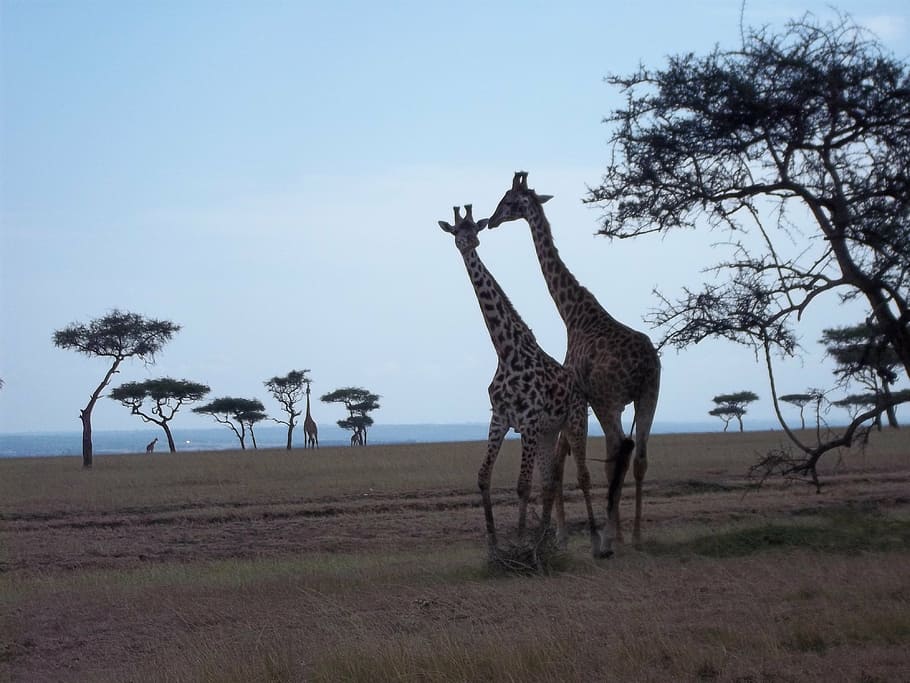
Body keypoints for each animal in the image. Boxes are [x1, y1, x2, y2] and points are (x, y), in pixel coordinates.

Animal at [438, 204, 599, 557]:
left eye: (476, 228)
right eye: (456, 231)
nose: (468, 243)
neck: (506, 351)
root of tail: (579, 386)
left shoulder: (528, 421)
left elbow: (522, 486)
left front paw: (521, 543)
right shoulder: (501, 418)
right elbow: (484, 477)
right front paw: (494, 544)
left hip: (573, 422)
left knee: (582, 474)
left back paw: (595, 539)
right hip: (549, 431)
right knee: (550, 479)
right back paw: (550, 538)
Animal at [488, 171, 660, 552]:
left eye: (507, 200)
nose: (490, 221)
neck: (573, 314)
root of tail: (644, 365)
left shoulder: (582, 400)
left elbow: (560, 464)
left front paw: (562, 534)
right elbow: (560, 464)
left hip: (609, 401)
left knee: (618, 453)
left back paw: (614, 535)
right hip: (649, 396)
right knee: (640, 457)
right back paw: (636, 535)